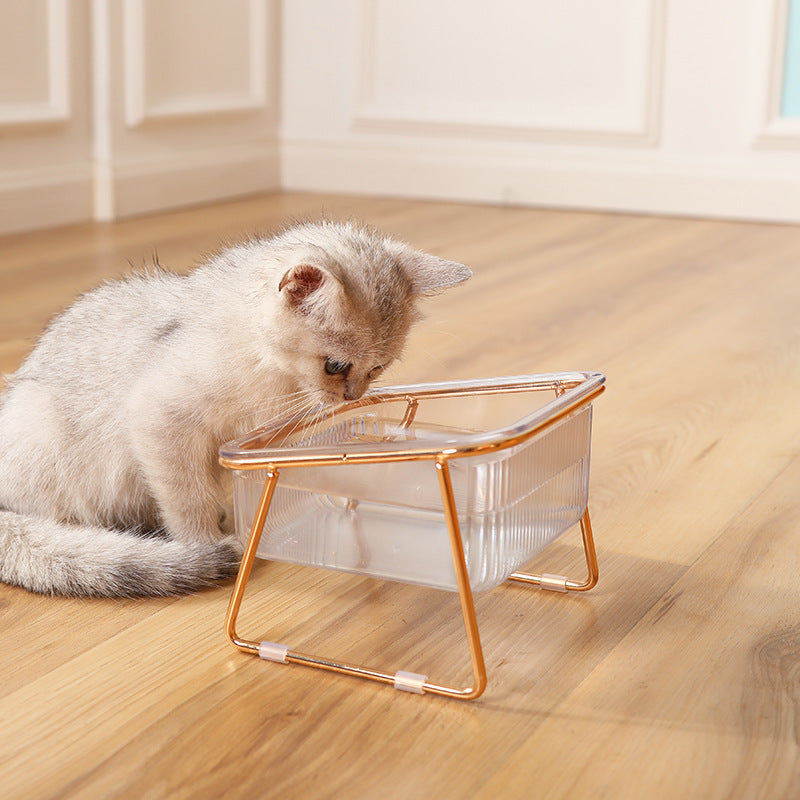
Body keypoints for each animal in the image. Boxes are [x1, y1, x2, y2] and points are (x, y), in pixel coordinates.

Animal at [0, 222, 472, 596]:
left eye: (378, 368)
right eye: (335, 366)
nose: (353, 397)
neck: (270, 369)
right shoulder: (160, 418)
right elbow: (187, 497)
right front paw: (204, 541)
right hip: (45, 429)